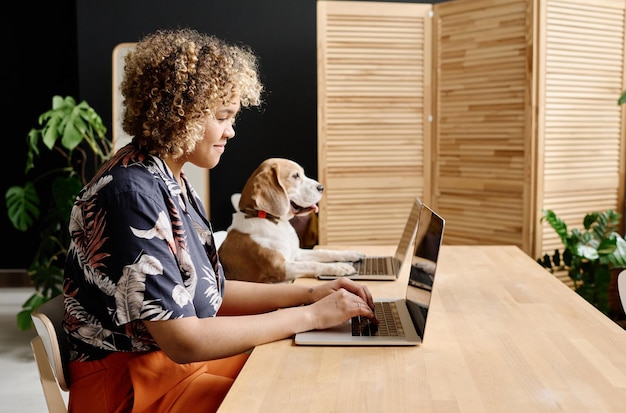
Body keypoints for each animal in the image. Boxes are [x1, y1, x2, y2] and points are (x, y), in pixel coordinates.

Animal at [217, 156, 364, 282]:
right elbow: (312, 264)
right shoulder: (281, 267)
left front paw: (350, 254)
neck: (274, 222)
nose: (321, 187)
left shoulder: (296, 253)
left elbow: (324, 252)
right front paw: (339, 267)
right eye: (295, 176)